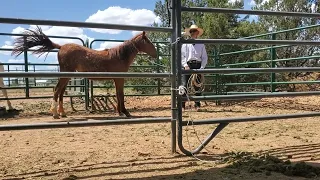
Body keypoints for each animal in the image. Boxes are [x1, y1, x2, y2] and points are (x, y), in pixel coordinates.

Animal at [11, 25, 157, 118]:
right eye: (148, 42)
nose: (156, 53)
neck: (120, 56)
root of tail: (61, 46)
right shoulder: (119, 79)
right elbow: (121, 95)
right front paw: (124, 112)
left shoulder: (117, 79)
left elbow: (118, 94)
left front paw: (120, 112)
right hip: (66, 74)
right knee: (57, 90)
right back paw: (55, 114)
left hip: (67, 76)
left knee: (61, 92)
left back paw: (62, 113)